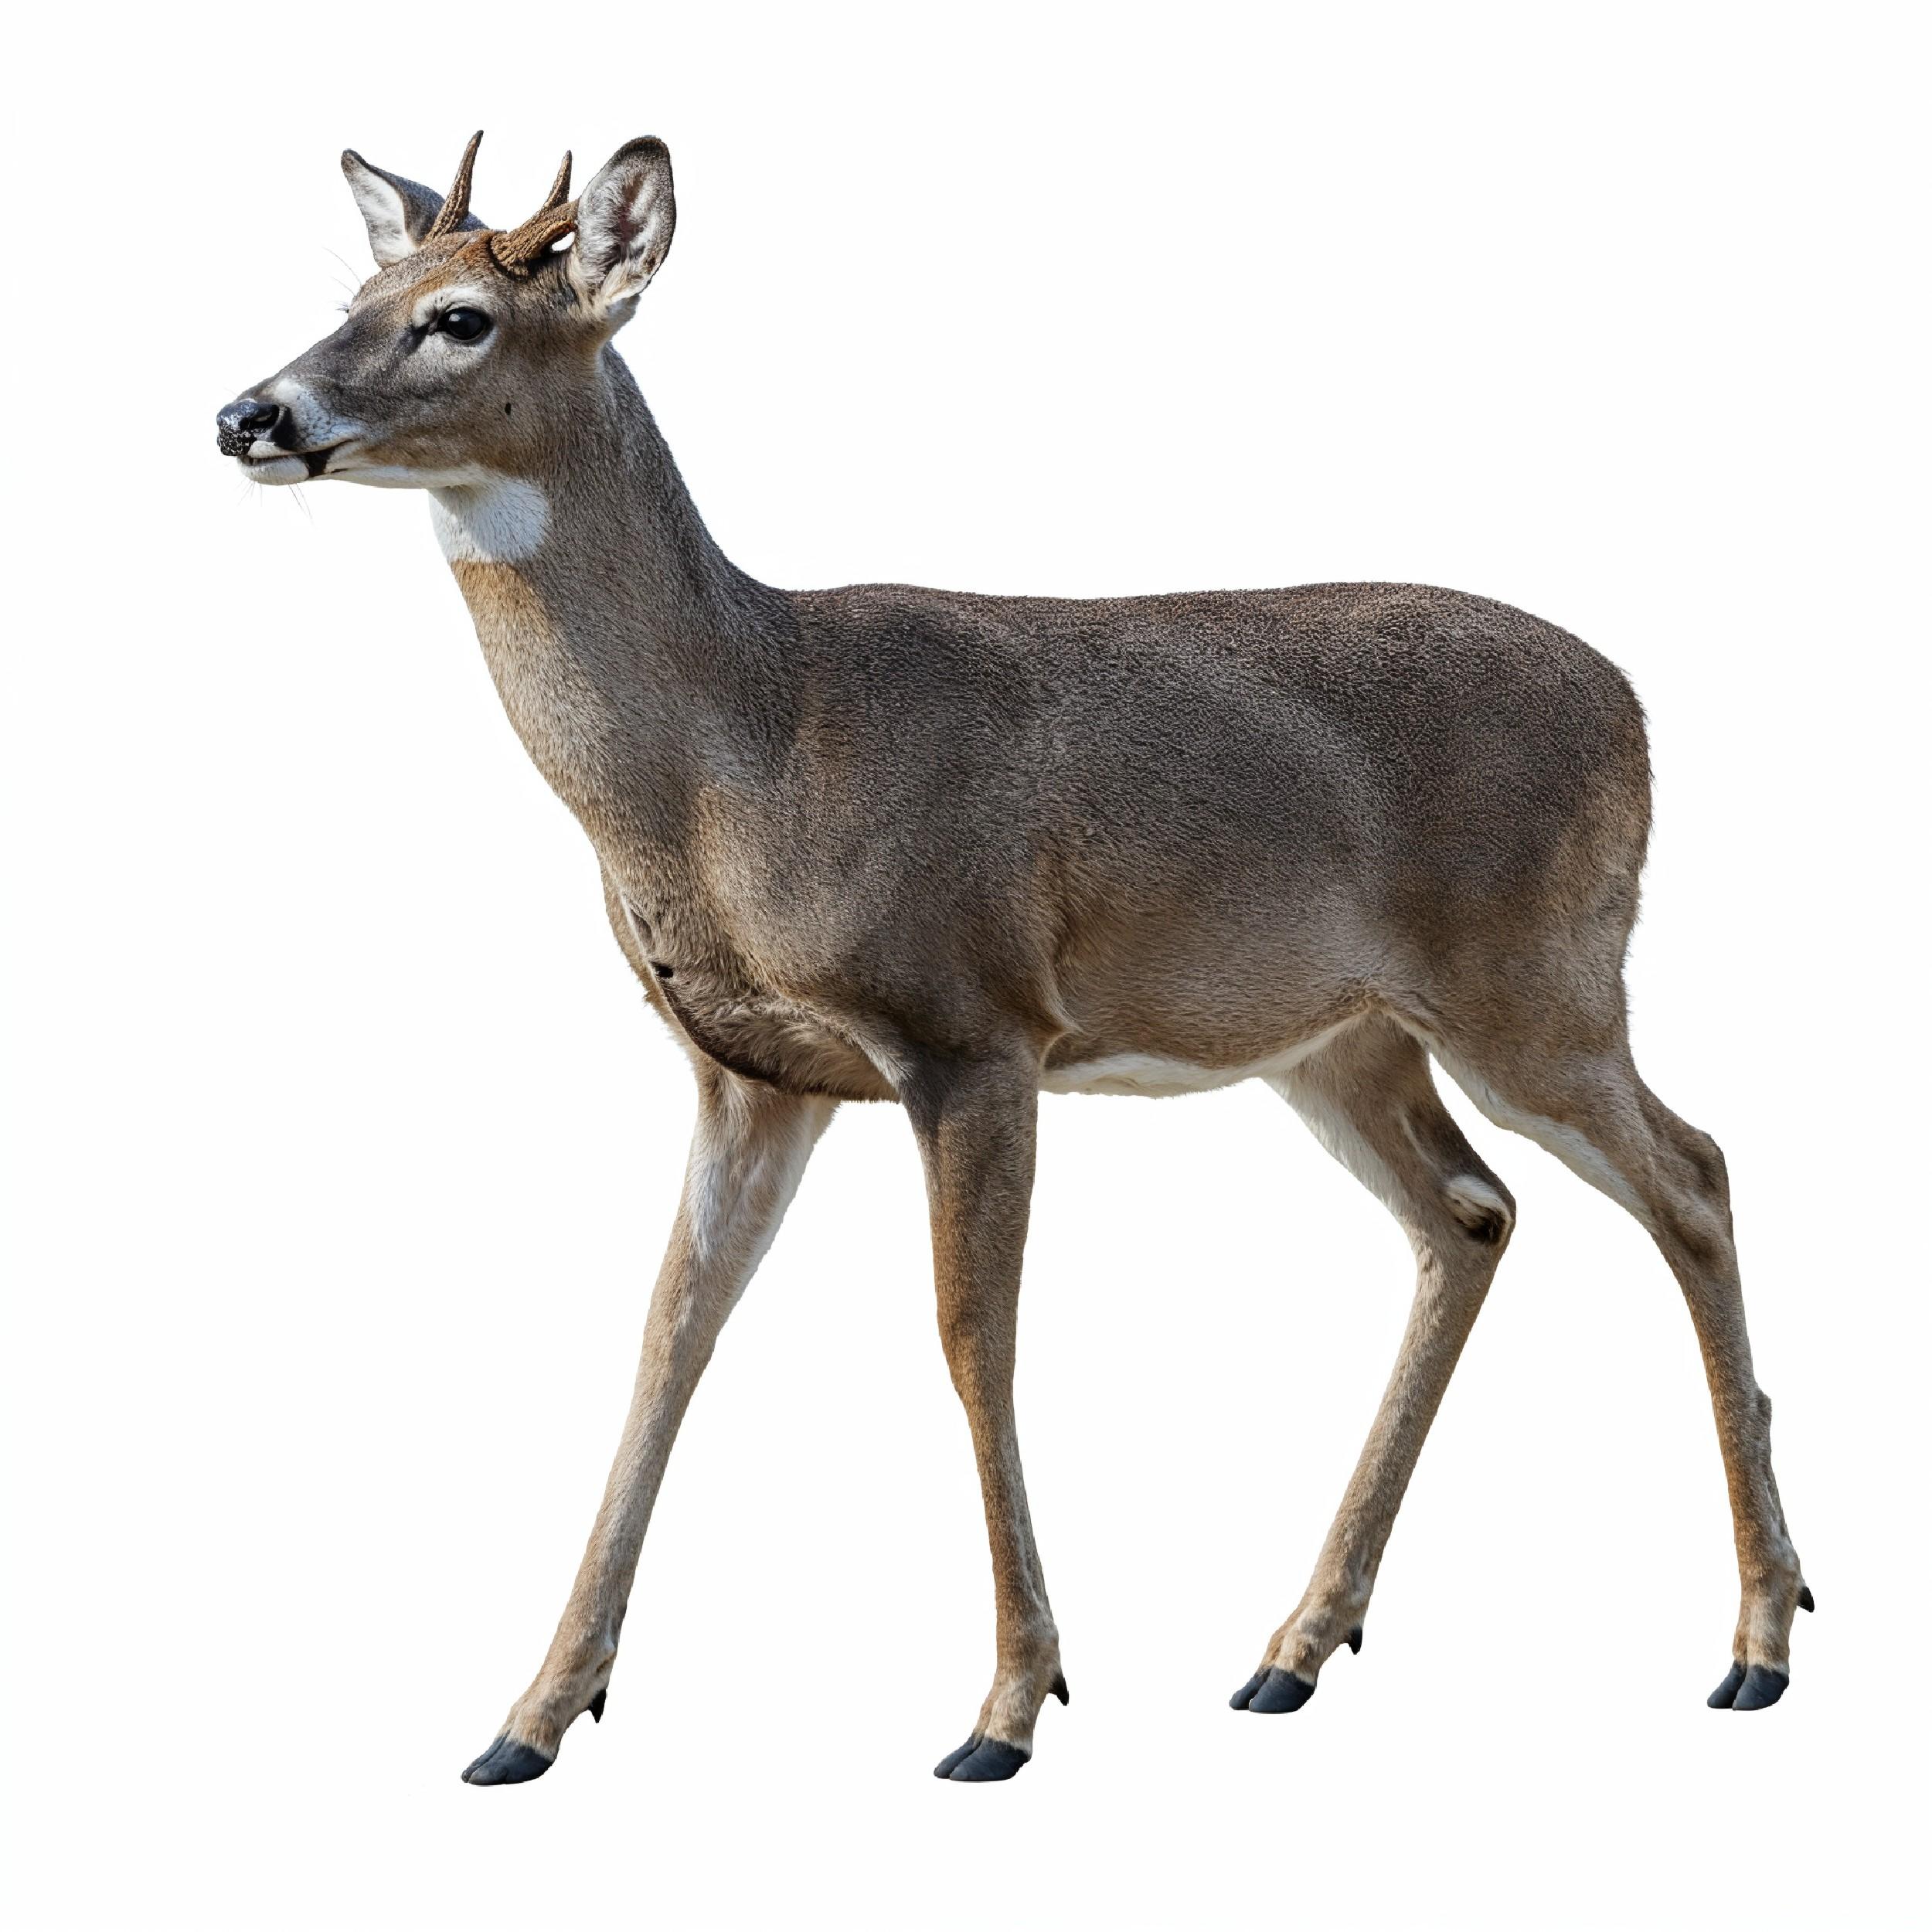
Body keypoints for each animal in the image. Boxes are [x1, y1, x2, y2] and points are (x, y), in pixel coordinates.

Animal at [216, 131, 1810, 1786]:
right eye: (353, 295)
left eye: (459, 318)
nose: (250, 413)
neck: (741, 754)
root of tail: (1636, 706)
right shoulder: (751, 1073)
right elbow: (668, 1335)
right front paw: (531, 1715)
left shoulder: (970, 1028)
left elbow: (973, 1336)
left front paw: (1006, 1706)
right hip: (1342, 1037)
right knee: (1473, 1213)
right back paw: (1295, 1649)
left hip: (1538, 983)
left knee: (1694, 1173)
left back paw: (1760, 1640)